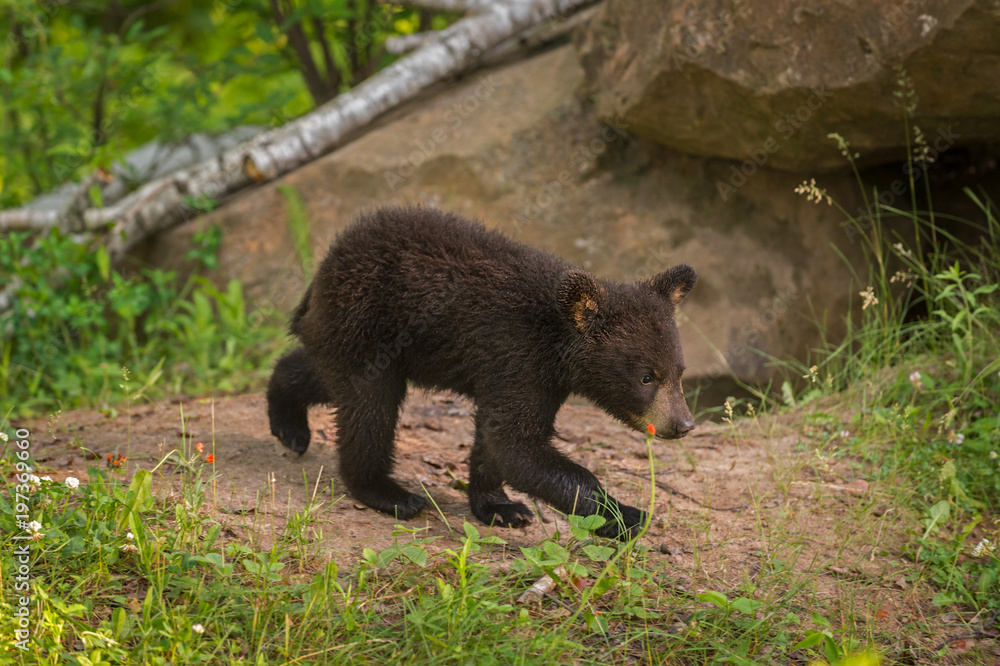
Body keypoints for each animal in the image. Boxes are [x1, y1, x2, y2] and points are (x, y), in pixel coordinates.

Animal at [266, 206, 697, 540]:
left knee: (322, 375)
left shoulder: (536, 378)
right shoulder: (517, 356)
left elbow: (497, 440)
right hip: (369, 326)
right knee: (370, 409)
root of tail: (326, 264)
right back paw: (388, 492)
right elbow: (515, 444)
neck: (555, 342)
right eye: (646, 376)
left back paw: (289, 423)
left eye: (679, 371)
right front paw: (626, 515)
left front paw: (501, 507)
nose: (683, 424)